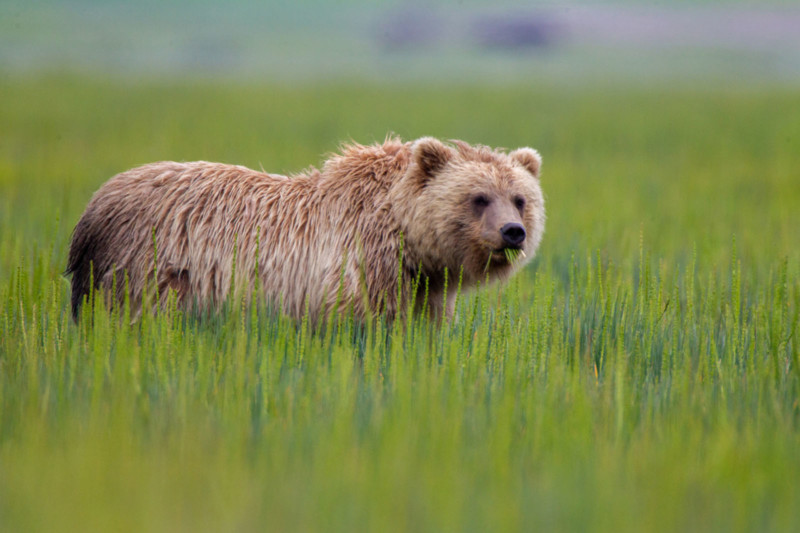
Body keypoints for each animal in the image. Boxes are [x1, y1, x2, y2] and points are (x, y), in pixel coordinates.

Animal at [67, 135, 544, 322]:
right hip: (147, 267)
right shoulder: (359, 265)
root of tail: (96, 203)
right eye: (479, 197)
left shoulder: (423, 287)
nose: (512, 231)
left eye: (520, 198)